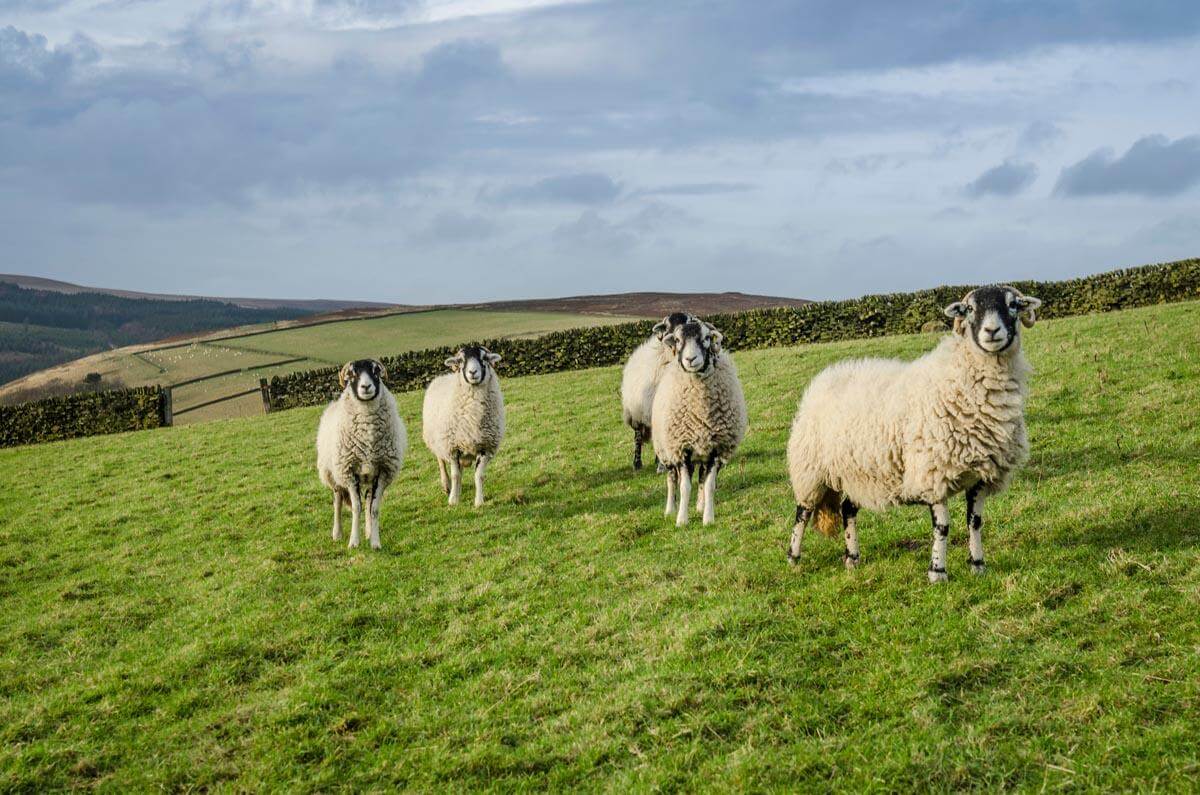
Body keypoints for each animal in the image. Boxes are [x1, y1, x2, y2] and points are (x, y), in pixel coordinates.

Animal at [314, 360, 408, 552]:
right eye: (352, 374)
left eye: (376, 371)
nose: (366, 387)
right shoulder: (349, 472)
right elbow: (356, 508)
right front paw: (353, 542)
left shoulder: (382, 472)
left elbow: (374, 509)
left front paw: (375, 541)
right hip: (333, 475)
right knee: (337, 502)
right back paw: (337, 533)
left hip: (369, 477)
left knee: (368, 501)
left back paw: (368, 532)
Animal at [420, 345, 504, 506]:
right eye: (461, 360)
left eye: (484, 358)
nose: (473, 372)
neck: (473, 414)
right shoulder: (452, 447)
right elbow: (455, 475)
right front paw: (453, 500)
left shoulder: (485, 447)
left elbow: (479, 475)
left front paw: (479, 502)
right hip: (437, 442)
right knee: (442, 464)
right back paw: (447, 486)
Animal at [619, 312, 696, 473]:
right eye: (668, 326)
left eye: (689, 322)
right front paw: (662, 466)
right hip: (637, 414)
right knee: (638, 438)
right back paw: (637, 463)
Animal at [652, 321, 744, 525]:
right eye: (678, 340)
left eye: (706, 338)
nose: (690, 359)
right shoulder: (682, 448)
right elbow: (684, 487)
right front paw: (681, 520)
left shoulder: (715, 449)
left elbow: (709, 485)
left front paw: (708, 518)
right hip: (667, 452)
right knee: (672, 479)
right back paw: (670, 509)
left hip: (703, 453)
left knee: (702, 479)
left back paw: (700, 506)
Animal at [787, 283, 1041, 583]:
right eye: (969, 309)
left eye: (1012, 304)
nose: (991, 331)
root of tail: (826, 376)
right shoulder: (932, 472)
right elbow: (942, 526)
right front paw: (937, 572)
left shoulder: (981, 475)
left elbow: (975, 522)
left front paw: (978, 565)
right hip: (810, 469)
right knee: (802, 512)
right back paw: (793, 558)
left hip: (857, 471)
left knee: (847, 508)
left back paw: (852, 558)